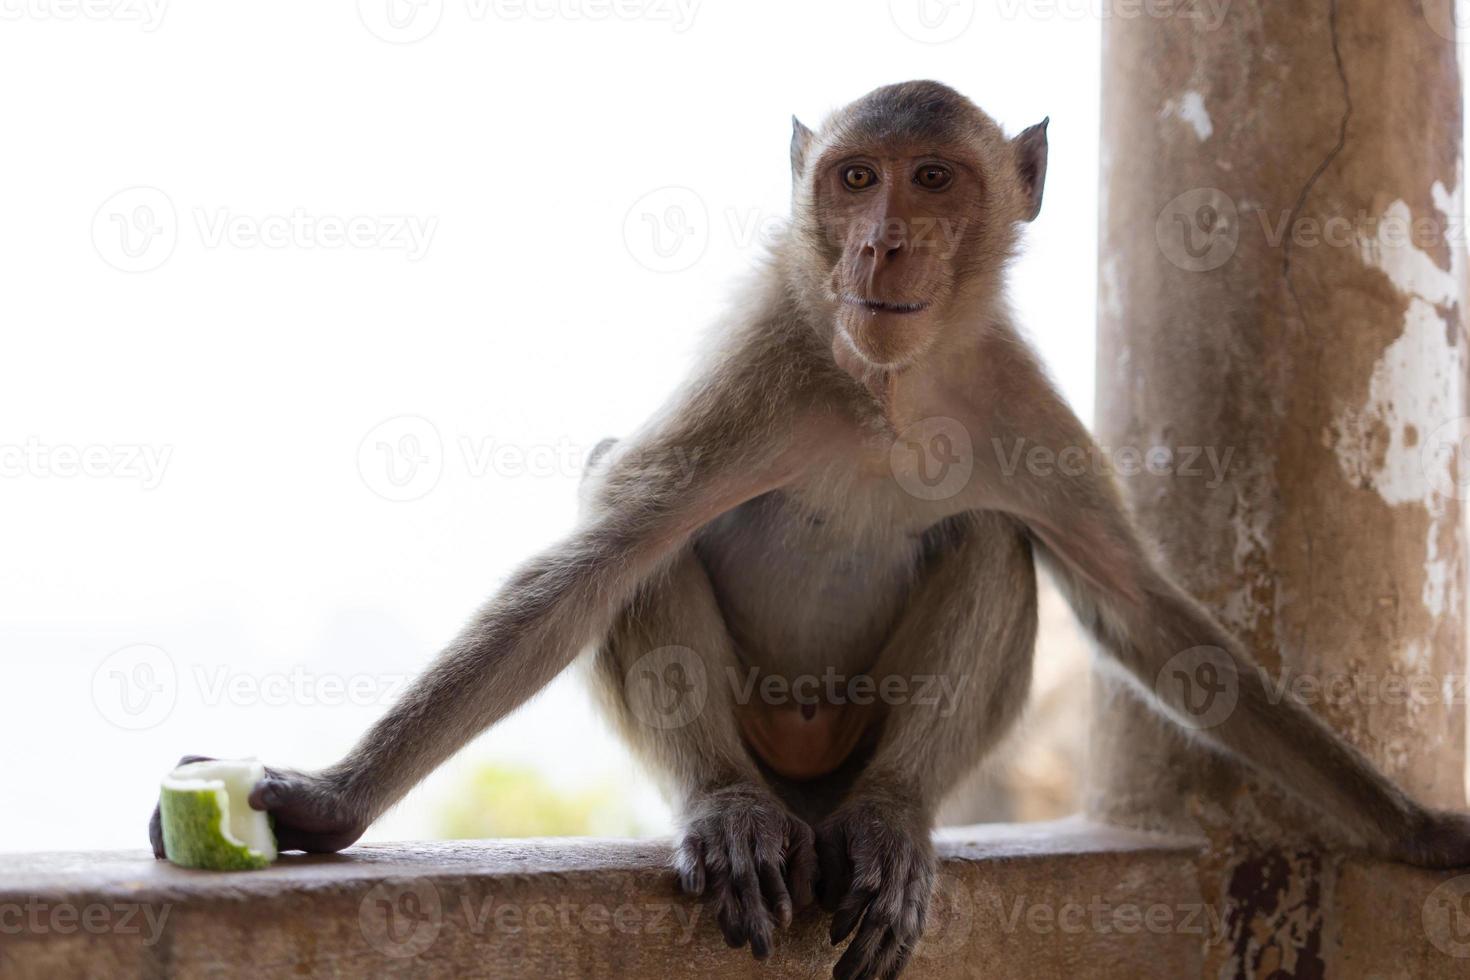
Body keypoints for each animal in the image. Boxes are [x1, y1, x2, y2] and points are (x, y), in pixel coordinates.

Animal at [149, 78, 1470, 980]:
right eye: (853, 178)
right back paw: (730, 806)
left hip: (850, 746)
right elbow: (597, 561)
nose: (881, 243)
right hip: (765, 734)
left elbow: (1145, 613)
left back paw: (891, 815)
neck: (890, 390)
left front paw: (1416, 827)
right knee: (647, 538)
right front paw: (326, 802)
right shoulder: (767, 365)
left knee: (990, 541)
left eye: (931, 179)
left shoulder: (1016, 400)